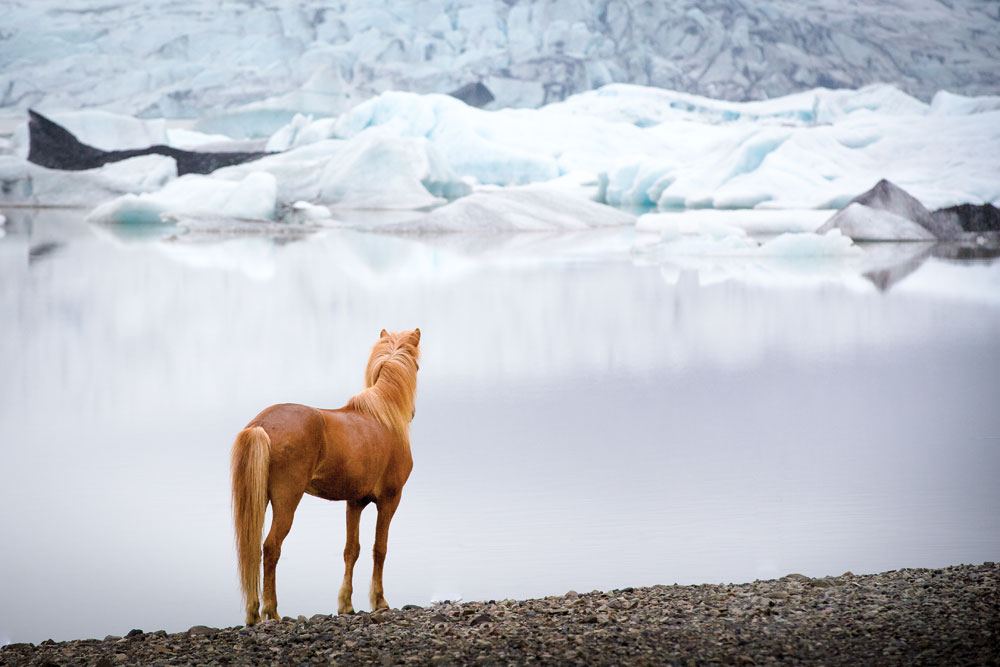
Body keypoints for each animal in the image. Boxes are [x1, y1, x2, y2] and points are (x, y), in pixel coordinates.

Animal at [232, 328, 420, 628]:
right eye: (417, 365)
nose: (412, 412)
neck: (383, 417)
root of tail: (260, 426)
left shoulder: (355, 502)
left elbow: (351, 550)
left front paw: (346, 604)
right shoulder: (390, 500)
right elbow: (379, 548)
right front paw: (379, 601)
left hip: (258, 501)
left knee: (251, 550)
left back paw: (253, 614)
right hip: (286, 502)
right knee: (271, 547)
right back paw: (272, 611)